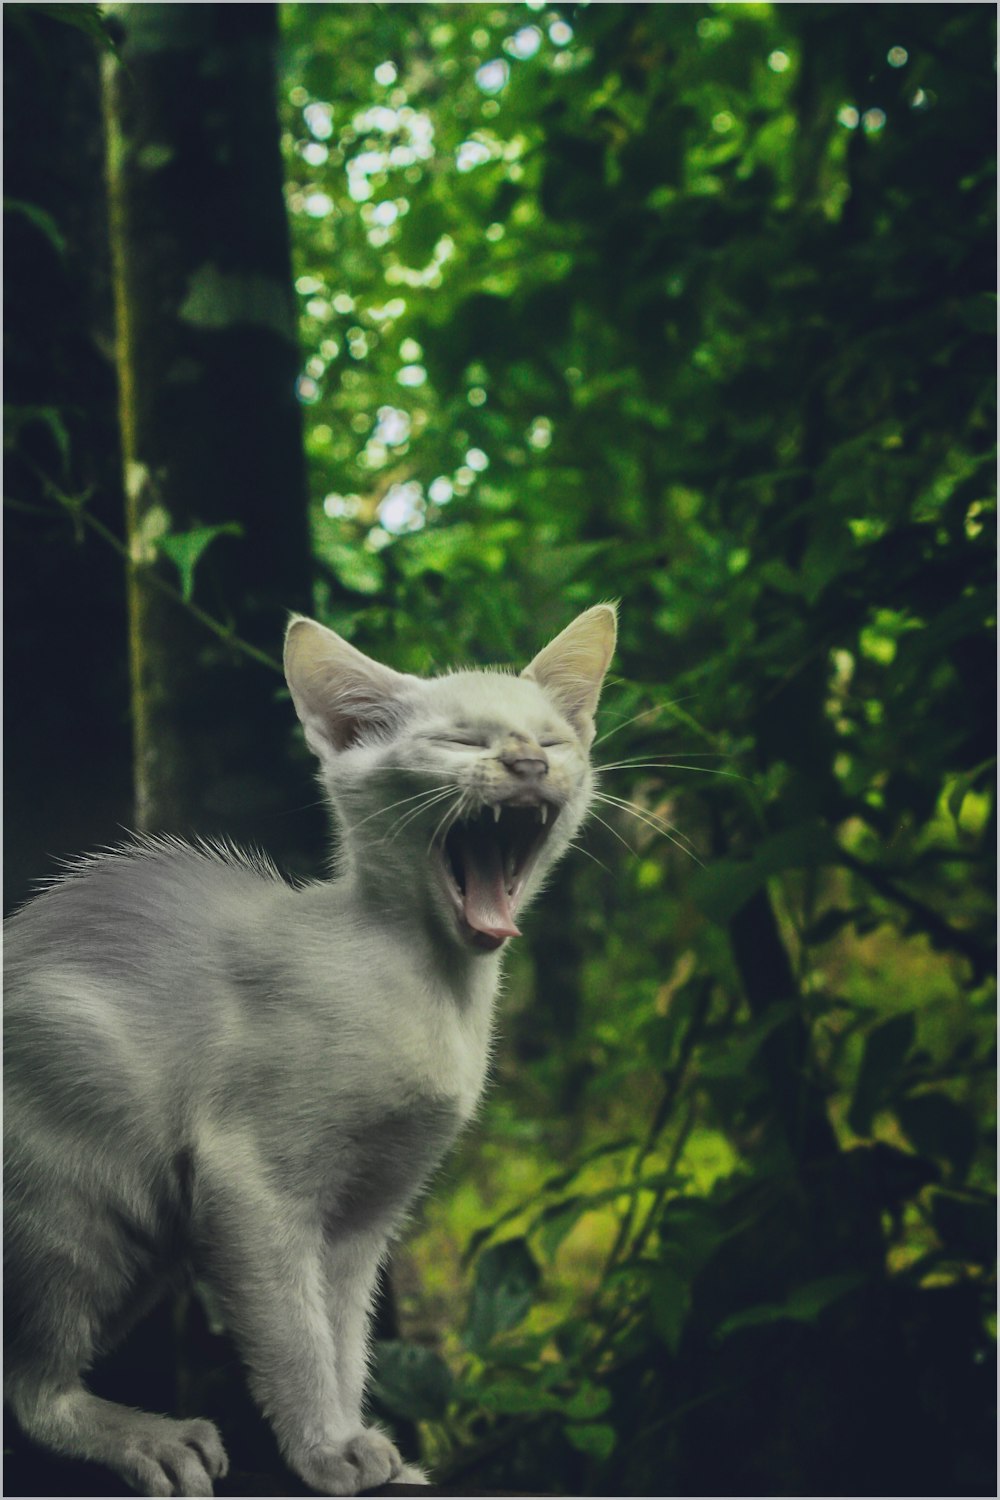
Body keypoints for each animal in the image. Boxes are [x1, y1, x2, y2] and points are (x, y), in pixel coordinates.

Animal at [3, 603, 617, 1494]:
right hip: (77, 1203)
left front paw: (366, 1445)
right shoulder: (249, 1182)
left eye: (555, 740)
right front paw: (326, 1450)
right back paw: (150, 1439)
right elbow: (293, 1335)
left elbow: (345, 1335)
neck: (432, 987)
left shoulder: (370, 1210)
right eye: (460, 740)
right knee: (30, 1388)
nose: (530, 762)